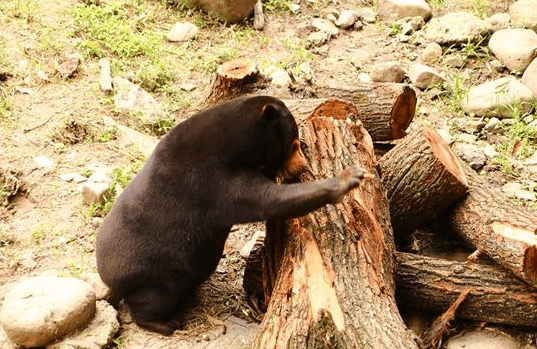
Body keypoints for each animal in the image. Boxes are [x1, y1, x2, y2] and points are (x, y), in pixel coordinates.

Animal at [95, 94, 368, 334]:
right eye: (292, 144)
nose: (302, 166)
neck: (236, 142)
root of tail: (106, 275)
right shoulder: (216, 183)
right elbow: (270, 200)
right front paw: (350, 178)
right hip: (155, 275)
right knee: (152, 300)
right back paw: (165, 323)